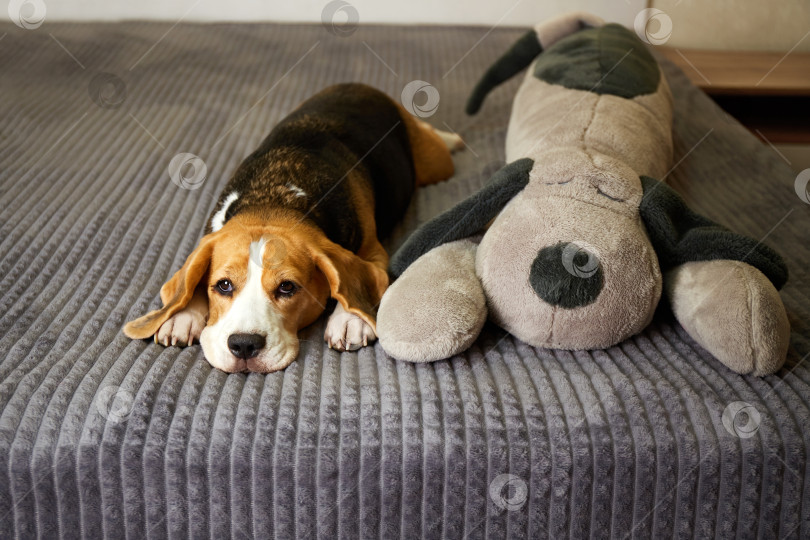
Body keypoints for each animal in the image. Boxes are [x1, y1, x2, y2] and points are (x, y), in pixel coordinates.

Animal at [122, 83, 458, 372]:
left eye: (287, 287)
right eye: (223, 285)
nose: (244, 345)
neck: (274, 200)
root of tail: (362, 86)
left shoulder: (373, 252)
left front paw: (350, 319)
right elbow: (188, 283)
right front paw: (181, 315)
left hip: (435, 163)